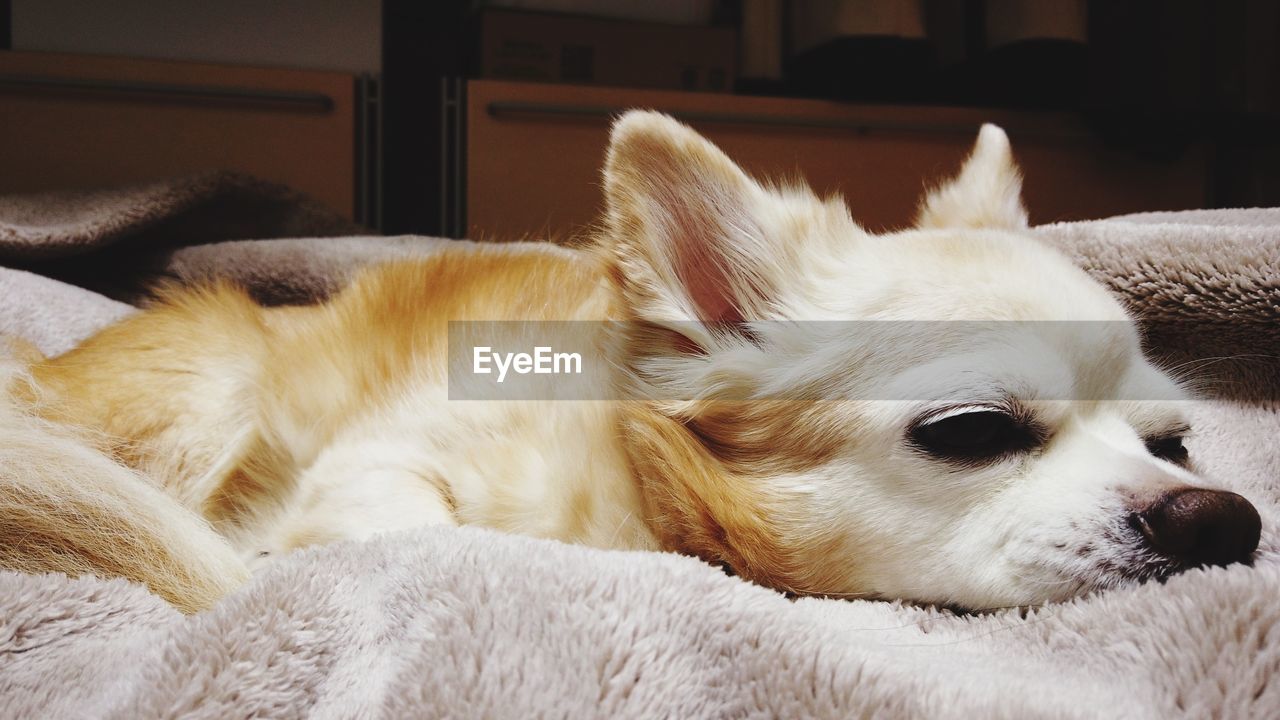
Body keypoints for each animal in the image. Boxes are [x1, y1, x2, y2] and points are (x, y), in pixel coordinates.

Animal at [0, 112, 1259, 609]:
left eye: (1172, 443)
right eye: (973, 432)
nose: (1223, 518)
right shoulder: (377, 464)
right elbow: (411, 526)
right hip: (204, 396)